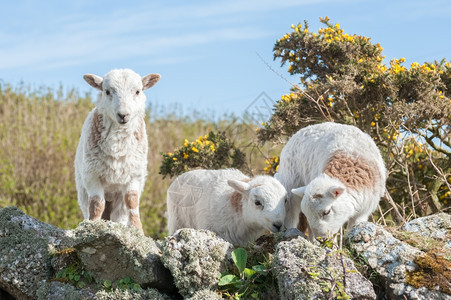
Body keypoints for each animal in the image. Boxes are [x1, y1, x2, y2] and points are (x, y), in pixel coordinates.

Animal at [73, 68, 160, 232]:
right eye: (107, 91)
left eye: (138, 91)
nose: (123, 115)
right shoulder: (91, 175)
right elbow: (96, 204)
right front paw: (91, 225)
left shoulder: (135, 175)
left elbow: (132, 201)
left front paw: (138, 228)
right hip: (82, 191)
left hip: (118, 201)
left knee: (120, 213)